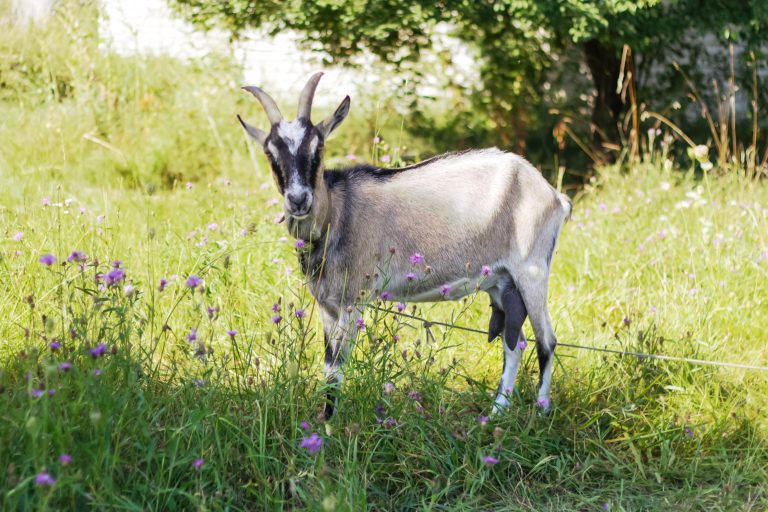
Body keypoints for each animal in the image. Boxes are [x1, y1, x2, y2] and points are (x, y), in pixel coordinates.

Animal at [238, 72, 572, 418]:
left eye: (318, 147)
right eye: (270, 153)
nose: (298, 199)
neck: (340, 214)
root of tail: (553, 195)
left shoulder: (352, 301)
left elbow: (337, 370)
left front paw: (329, 426)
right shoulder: (327, 305)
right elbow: (329, 366)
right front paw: (322, 422)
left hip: (532, 270)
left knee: (546, 341)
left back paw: (541, 410)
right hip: (502, 282)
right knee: (513, 342)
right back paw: (495, 413)